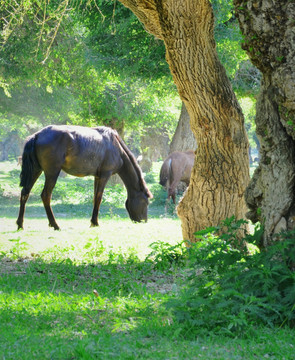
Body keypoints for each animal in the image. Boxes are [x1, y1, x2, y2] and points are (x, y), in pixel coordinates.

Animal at [16, 125, 154, 229]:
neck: (116, 147)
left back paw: (20, 224)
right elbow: (99, 198)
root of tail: (37, 135)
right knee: (45, 195)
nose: (144, 221)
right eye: (146, 202)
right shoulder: (105, 174)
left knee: (25, 193)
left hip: (36, 170)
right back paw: (55, 224)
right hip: (52, 172)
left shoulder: (97, 176)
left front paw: (93, 221)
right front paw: (95, 222)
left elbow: (95, 198)